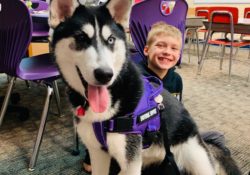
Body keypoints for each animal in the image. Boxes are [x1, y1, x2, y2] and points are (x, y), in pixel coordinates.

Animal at [49, 0, 242, 174]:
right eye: (81, 37)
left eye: (110, 39)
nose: (105, 74)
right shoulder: (98, 153)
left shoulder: (130, 161)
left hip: (197, 158)